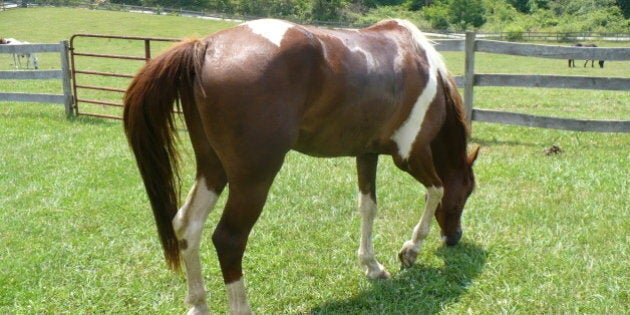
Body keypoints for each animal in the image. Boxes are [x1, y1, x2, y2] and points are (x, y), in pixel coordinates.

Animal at [122, 18, 478, 314]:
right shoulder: (410, 154)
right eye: (467, 193)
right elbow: (436, 190)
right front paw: (411, 250)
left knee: (187, 224)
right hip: (253, 179)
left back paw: (197, 304)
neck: (421, 63)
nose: (454, 237)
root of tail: (205, 46)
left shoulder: (366, 154)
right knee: (229, 239)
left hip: (213, 169)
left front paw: (371, 265)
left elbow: (368, 207)